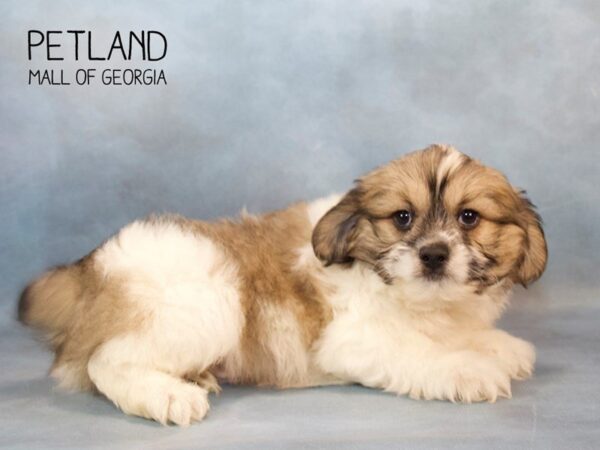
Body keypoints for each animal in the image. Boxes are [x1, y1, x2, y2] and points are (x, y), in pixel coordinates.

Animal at [18, 145, 548, 426]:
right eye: (402, 218)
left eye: (469, 218)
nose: (434, 254)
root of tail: (90, 270)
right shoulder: (355, 339)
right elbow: (422, 352)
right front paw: (467, 369)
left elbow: (462, 336)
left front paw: (497, 346)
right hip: (211, 304)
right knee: (103, 361)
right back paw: (167, 395)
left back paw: (196, 376)